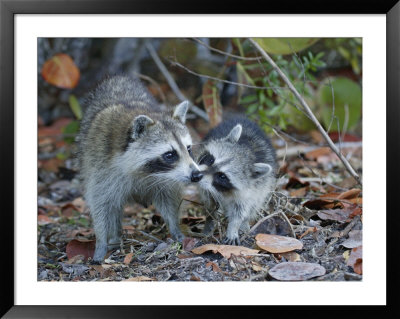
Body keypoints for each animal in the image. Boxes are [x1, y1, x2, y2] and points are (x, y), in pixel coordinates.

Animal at [77, 75, 203, 262]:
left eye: (188, 149)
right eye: (170, 154)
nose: (197, 175)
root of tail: (118, 78)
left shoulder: (167, 178)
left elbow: (169, 199)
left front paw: (175, 228)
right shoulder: (101, 167)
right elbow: (101, 204)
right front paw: (101, 242)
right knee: (114, 206)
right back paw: (115, 237)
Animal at [195, 116, 276, 246]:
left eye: (222, 176)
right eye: (211, 159)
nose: (196, 176)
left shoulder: (251, 189)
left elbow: (240, 211)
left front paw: (234, 227)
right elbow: (209, 202)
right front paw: (210, 220)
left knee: (256, 203)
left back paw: (245, 223)